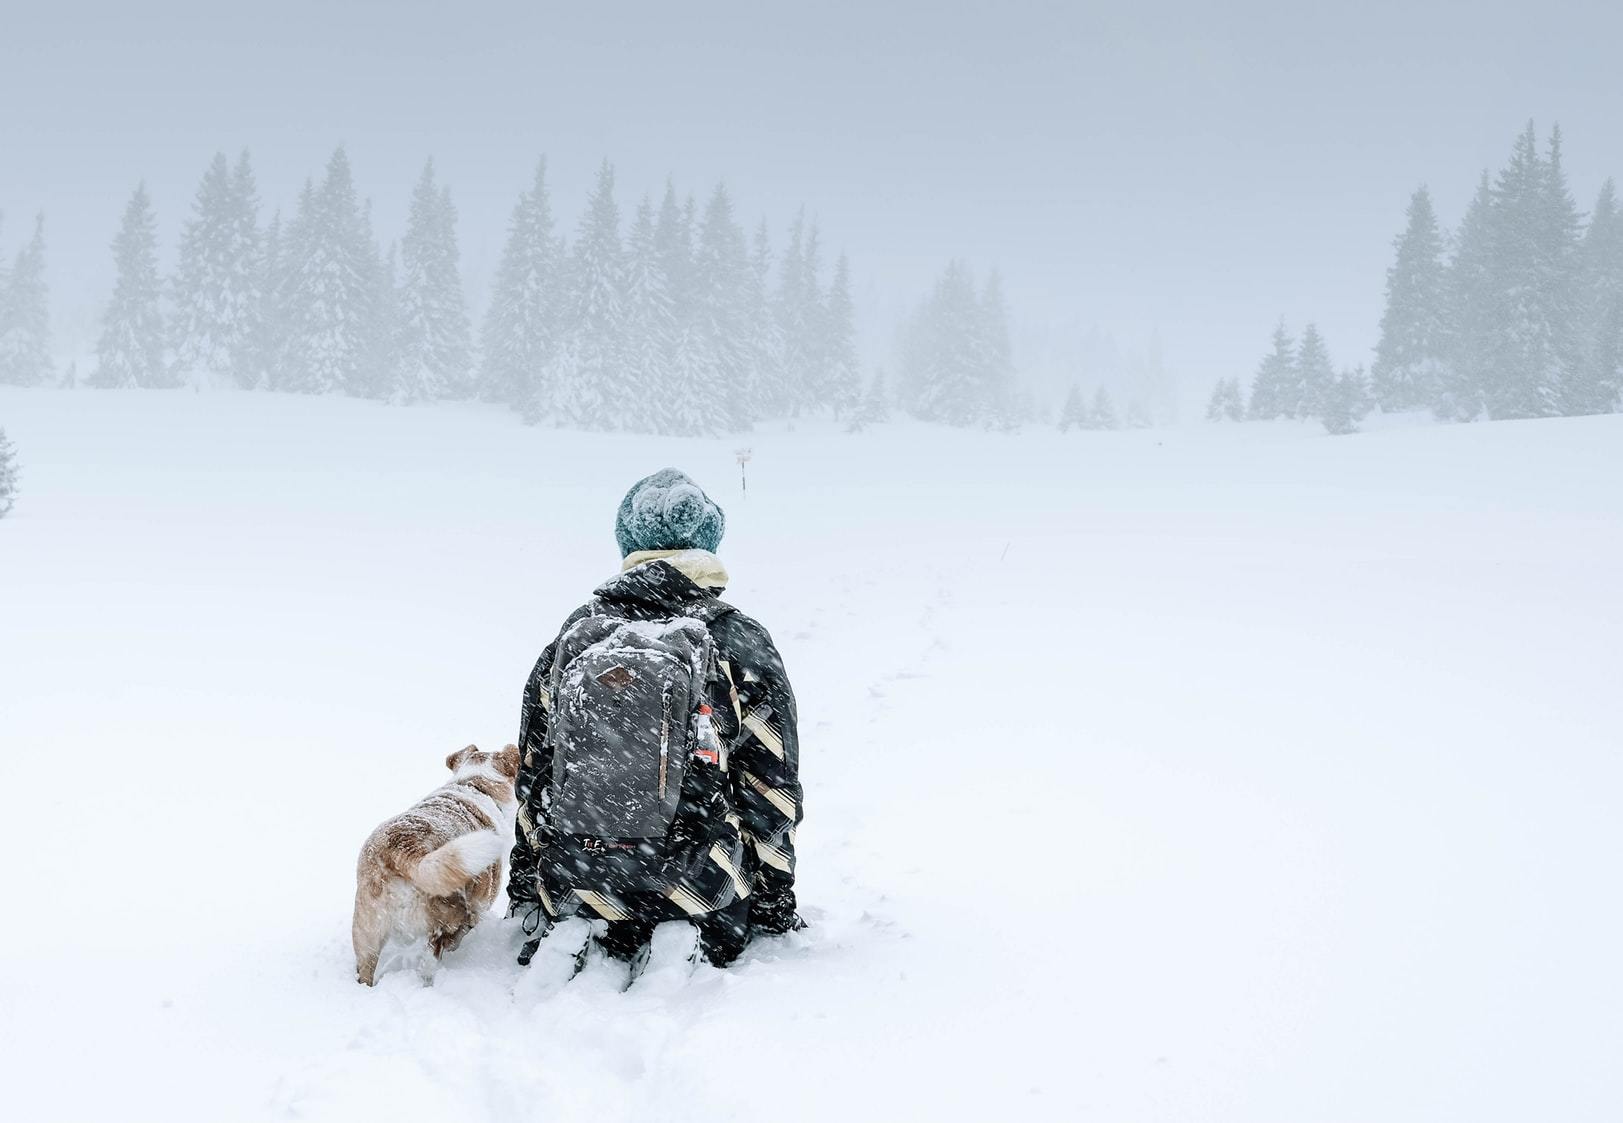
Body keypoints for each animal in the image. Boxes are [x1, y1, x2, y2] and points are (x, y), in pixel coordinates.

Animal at [355, 746, 519, 980]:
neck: (476, 784)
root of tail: (403, 849)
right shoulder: (481, 904)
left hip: (366, 933)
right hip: (447, 917)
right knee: (432, 958)